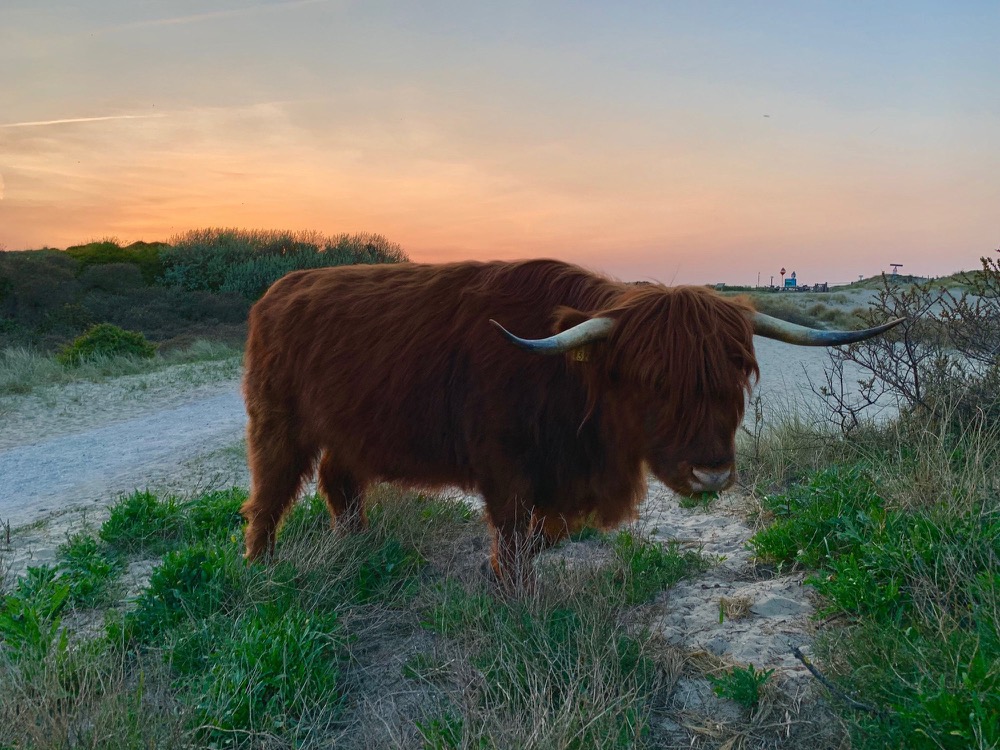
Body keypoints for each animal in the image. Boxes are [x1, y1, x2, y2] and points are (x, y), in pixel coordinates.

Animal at [240, 259, 901, 584]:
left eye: (736, 376)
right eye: (653, 381)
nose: (712, 474)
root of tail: (276, 290)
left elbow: (540, 535)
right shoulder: (505, 467)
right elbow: (513, 536)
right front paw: (511, 593)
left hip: (347, 428)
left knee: (339, 481)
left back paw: (358, 546)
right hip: (277, 422)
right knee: (269, 496)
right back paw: (259, 569)